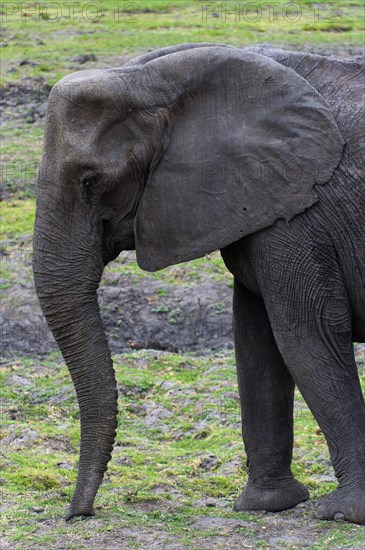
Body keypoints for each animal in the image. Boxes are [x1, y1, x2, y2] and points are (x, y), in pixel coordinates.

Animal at [32, 43, 362, 528]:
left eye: (91, 180)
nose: (78, 514)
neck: (147, 79)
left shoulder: (301, 212)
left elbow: (306, 334)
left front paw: (345, 514)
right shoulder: (260, 203)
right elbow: (256, 339)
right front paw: (265, 505)